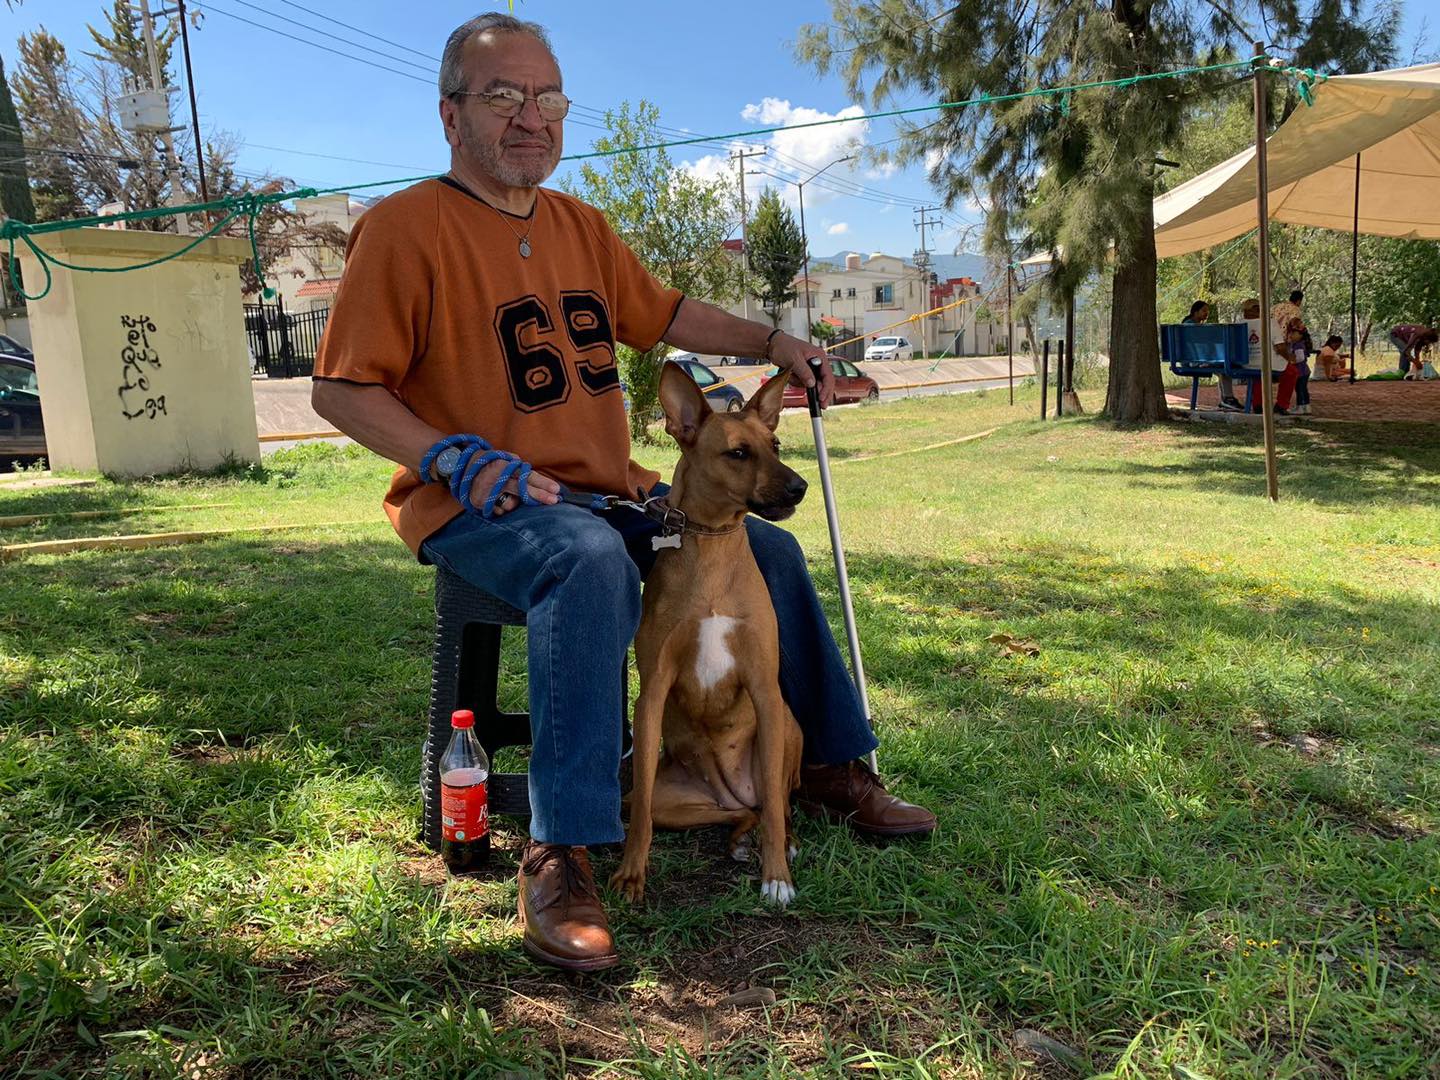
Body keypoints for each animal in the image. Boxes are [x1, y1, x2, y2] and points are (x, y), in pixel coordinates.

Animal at [610, 368, 812, 910]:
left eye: (775, 444)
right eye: (738, 453)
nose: (801, 486)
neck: (713, 551)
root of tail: (731, 790)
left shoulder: (765, 687)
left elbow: (777, 813)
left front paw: (777, 877)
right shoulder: (653, 689)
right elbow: (640, 816)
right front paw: (632, 875)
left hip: (786, 730)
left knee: (776, 805)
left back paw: (779, 841)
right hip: (678, 800)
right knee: (739, 813)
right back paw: (739, 835)